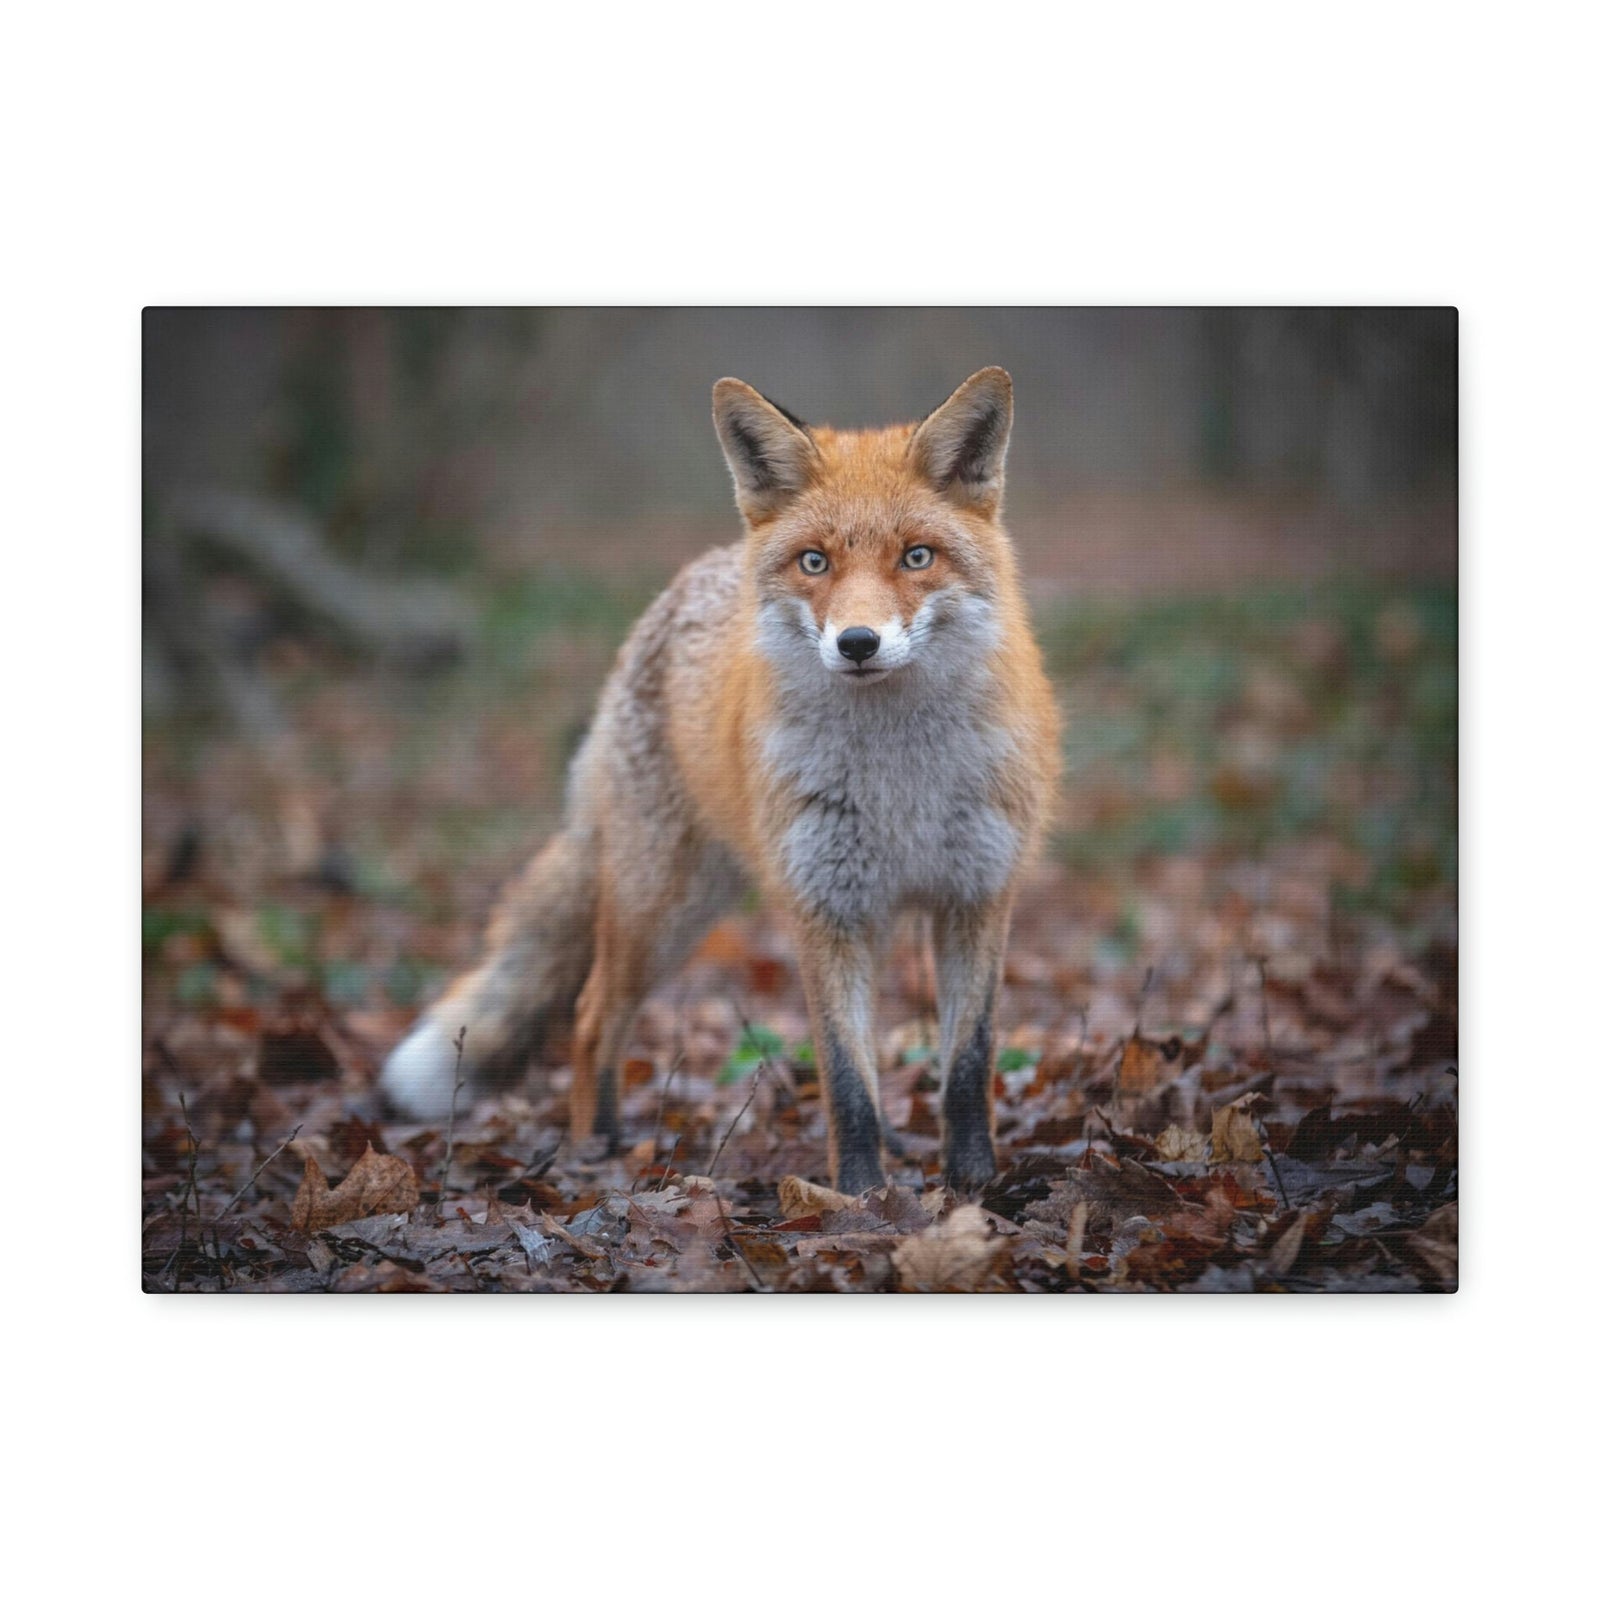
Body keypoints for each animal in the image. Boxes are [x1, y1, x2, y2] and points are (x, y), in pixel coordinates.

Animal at [380, 367, 1061, 1193]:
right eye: (814, 562)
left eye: (917, 557)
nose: (857, 643)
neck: (899, 781)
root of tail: (689, 578)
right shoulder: (823, 908)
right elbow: (846, 1081)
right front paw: (861, 1197)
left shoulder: (976, 897)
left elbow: (966, 1066)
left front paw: (974, 1187)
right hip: (662, 909)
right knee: (591, 1016)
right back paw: (596, 1149)